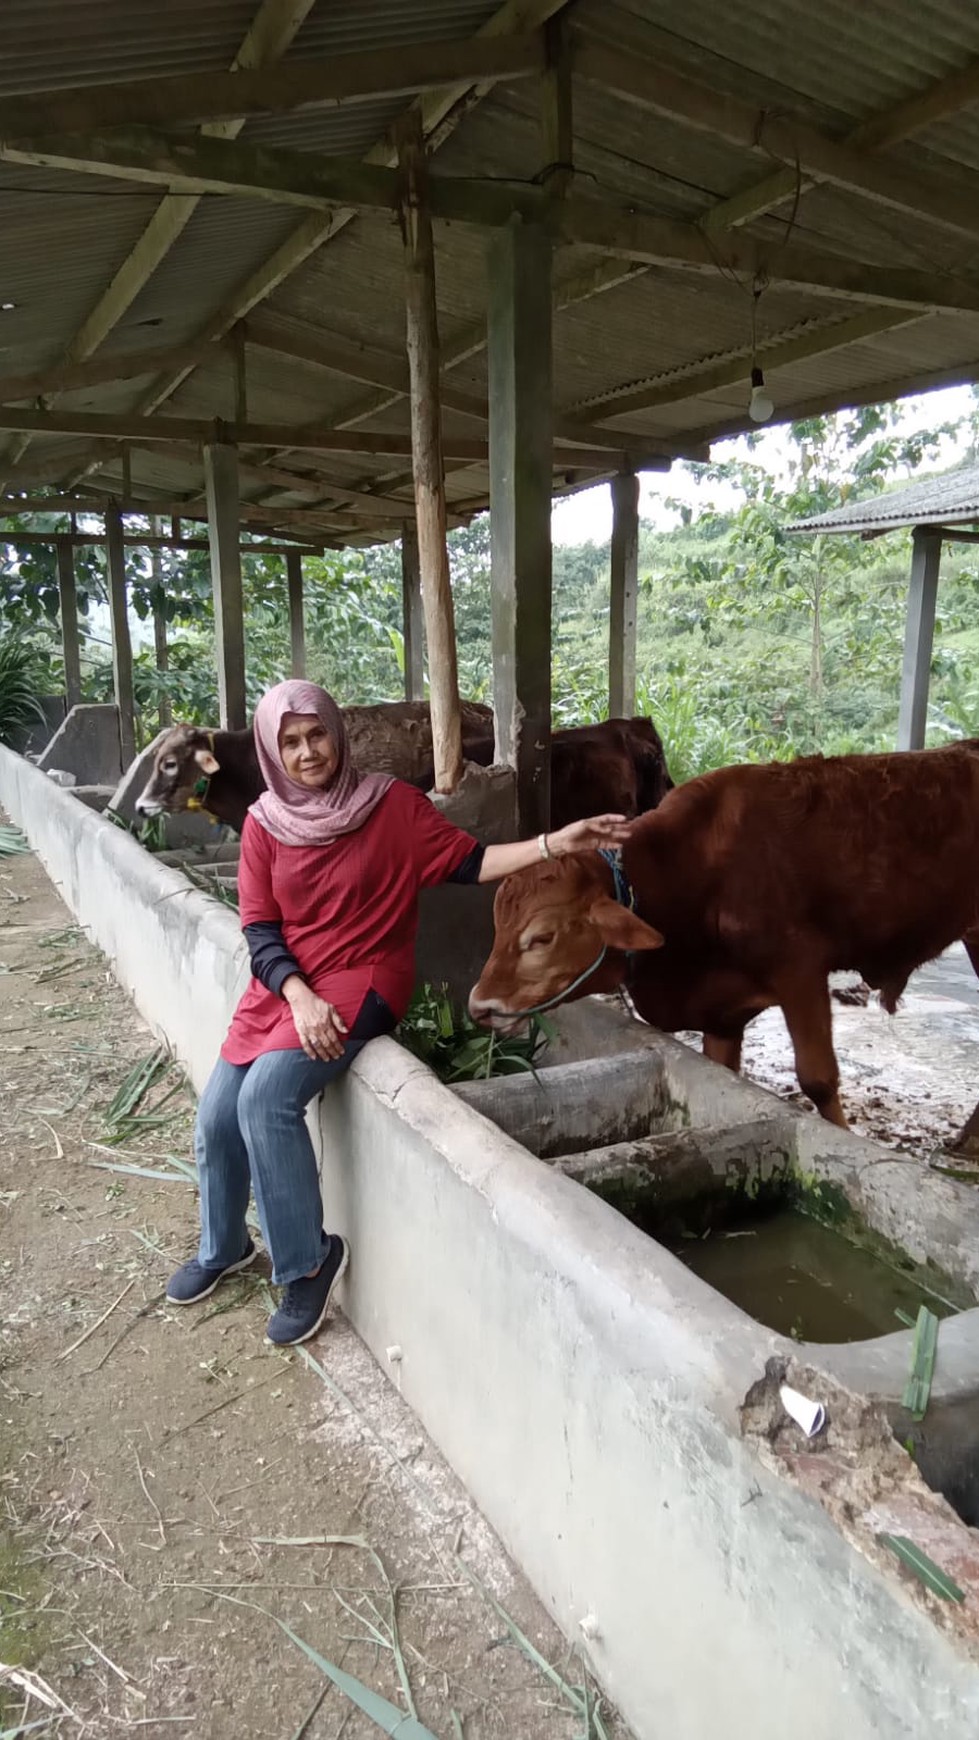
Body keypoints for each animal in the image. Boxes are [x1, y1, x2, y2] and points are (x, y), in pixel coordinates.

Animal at [469, 741, 979, 1134]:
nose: (479, 1007)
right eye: (496, 925)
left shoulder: (801, 972)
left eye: (541, 938)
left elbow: (818, 1079)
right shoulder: (721, 1015)